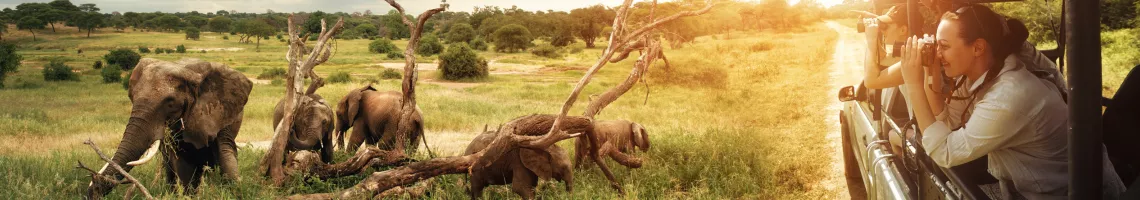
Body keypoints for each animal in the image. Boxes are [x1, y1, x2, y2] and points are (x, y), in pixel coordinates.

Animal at [84, 57, 254, 198]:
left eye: (170, 103)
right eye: (131, 97)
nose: (93, 190)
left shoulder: (222, 112)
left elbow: (225, 153)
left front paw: (235, 191)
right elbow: (181, 162)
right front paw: (188, 195)